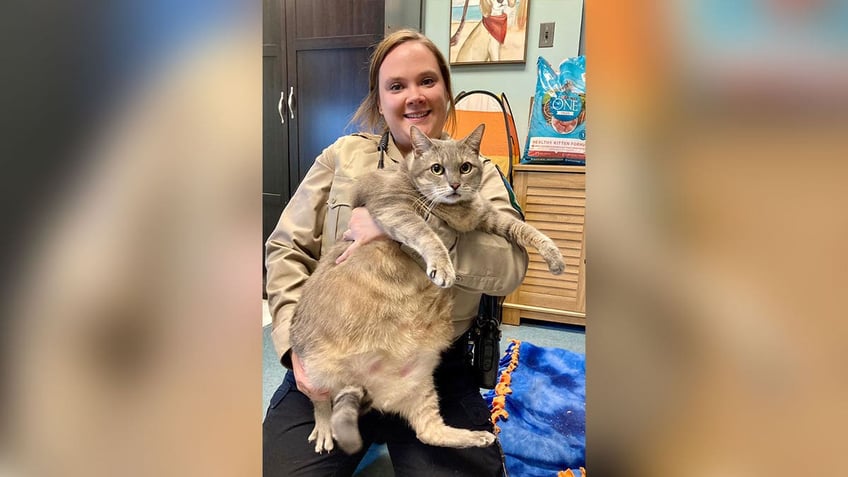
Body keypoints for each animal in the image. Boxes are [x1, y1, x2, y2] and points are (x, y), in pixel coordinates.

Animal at [288, 122, 568, 454]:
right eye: (437, 169)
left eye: (465, 167)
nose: (455, 185)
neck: (457, 212)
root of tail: (369, 388)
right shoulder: (394, 209)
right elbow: (426, 233)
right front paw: (443, 266)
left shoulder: (489, 216)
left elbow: (527, 229)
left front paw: (555, 256)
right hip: (316, 374)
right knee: (321, 403)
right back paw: (323, 430)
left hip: (421, 387)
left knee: (428, 432)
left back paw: (478, 437)